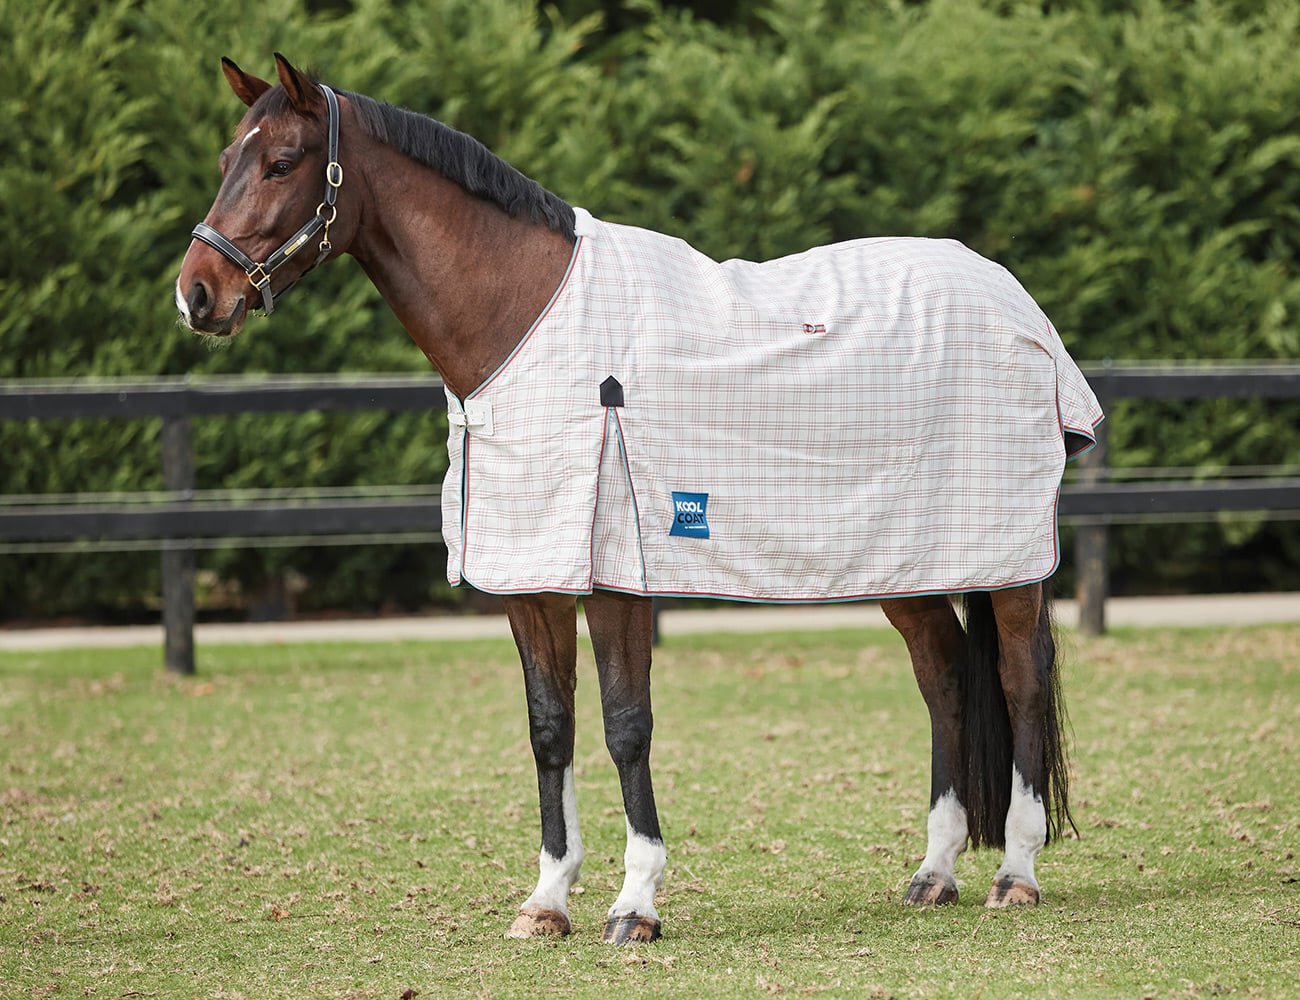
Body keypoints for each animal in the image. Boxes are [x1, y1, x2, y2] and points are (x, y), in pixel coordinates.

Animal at [177, 54, 1102, 944]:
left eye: (282, 162)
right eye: (224, 160)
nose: (196, 294)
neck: (524, 318)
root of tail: (1015, 300)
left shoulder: (616, 575)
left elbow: (626, 725)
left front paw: (636, 903)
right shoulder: (531, 575)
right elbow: (550, 729)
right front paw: (547, 901)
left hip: (1008, 562)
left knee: (1019, 680)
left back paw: (1015, 872)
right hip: (901, 560)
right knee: (943, 679)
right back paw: (935, 871)